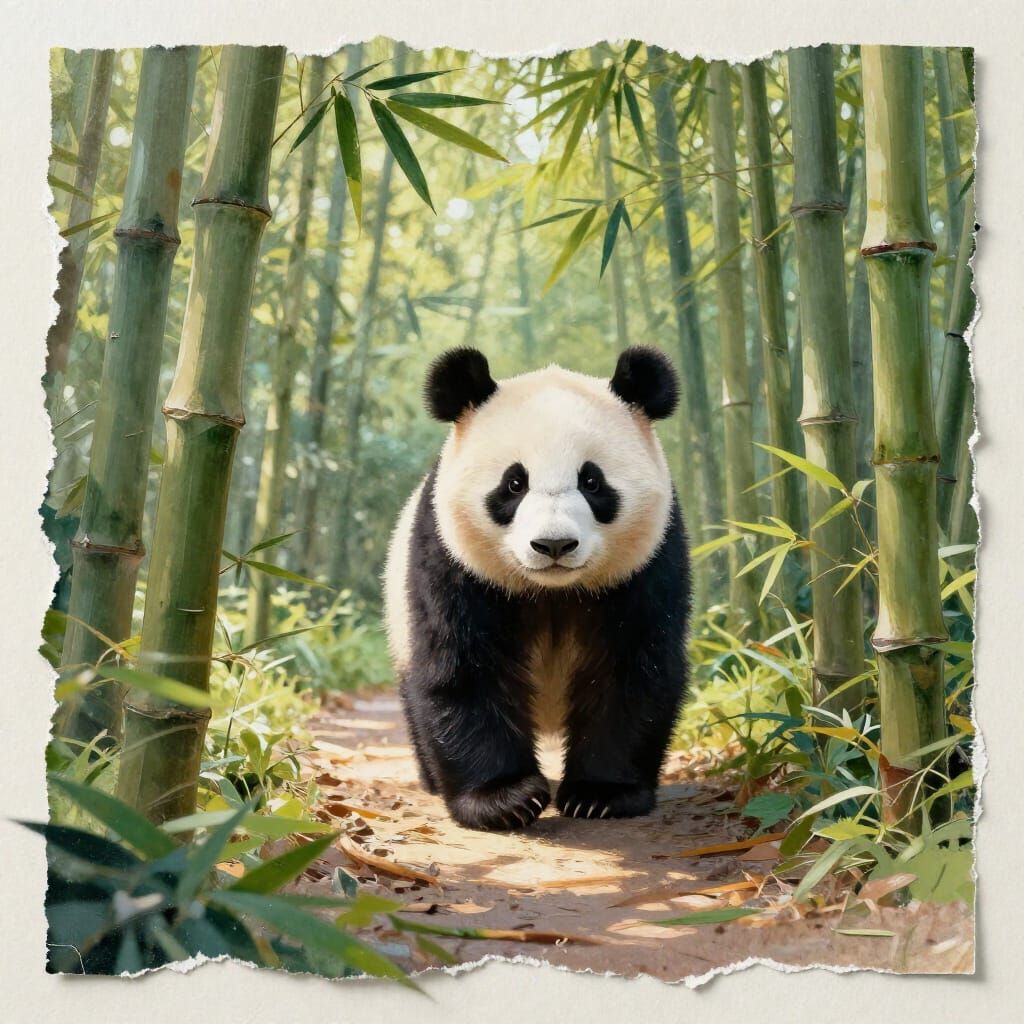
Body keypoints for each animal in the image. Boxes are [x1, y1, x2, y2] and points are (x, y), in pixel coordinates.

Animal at [383, 345, 691, 831]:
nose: (554, 544)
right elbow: (463, 667)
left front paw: (602, 794)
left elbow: (631, 670)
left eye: (591, 480)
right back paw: (433, 782)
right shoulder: (452, 561)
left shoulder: (648, 565)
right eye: (514, 483)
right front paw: (504, 799)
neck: (552, 589)